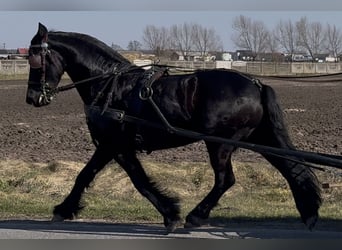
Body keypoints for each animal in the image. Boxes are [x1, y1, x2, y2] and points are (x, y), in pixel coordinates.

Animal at [24, 23, 320, 232]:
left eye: (35, 59)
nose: (32, 98)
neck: (110, 84)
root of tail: (255, 84)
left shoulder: (114, 145)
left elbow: (132, 181)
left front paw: (171, 214)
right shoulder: (114, 146)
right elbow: (97, 176)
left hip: (220, 143)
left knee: (225, 179)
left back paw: (196, 216)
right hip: (259, 137)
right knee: (291, 167)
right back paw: (310, 212)